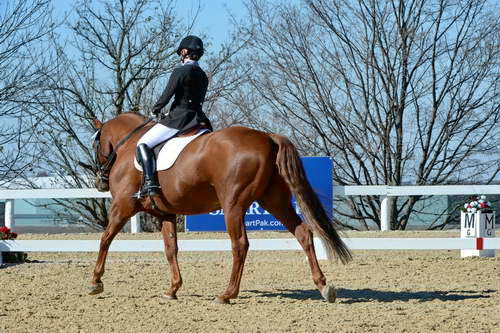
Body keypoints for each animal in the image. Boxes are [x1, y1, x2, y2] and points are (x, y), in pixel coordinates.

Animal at [88, 112, 352, 304]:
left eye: (96, 145)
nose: (100, 182)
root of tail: (267, 137)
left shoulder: (122, 206)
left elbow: (105, 239)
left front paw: (95, 282)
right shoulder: (165, 213)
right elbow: (170, 249)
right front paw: (172, 289)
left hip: (233, 205)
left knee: (240, 244)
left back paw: (227, 294)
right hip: (274, 201)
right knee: (303, 232)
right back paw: (324, 287)